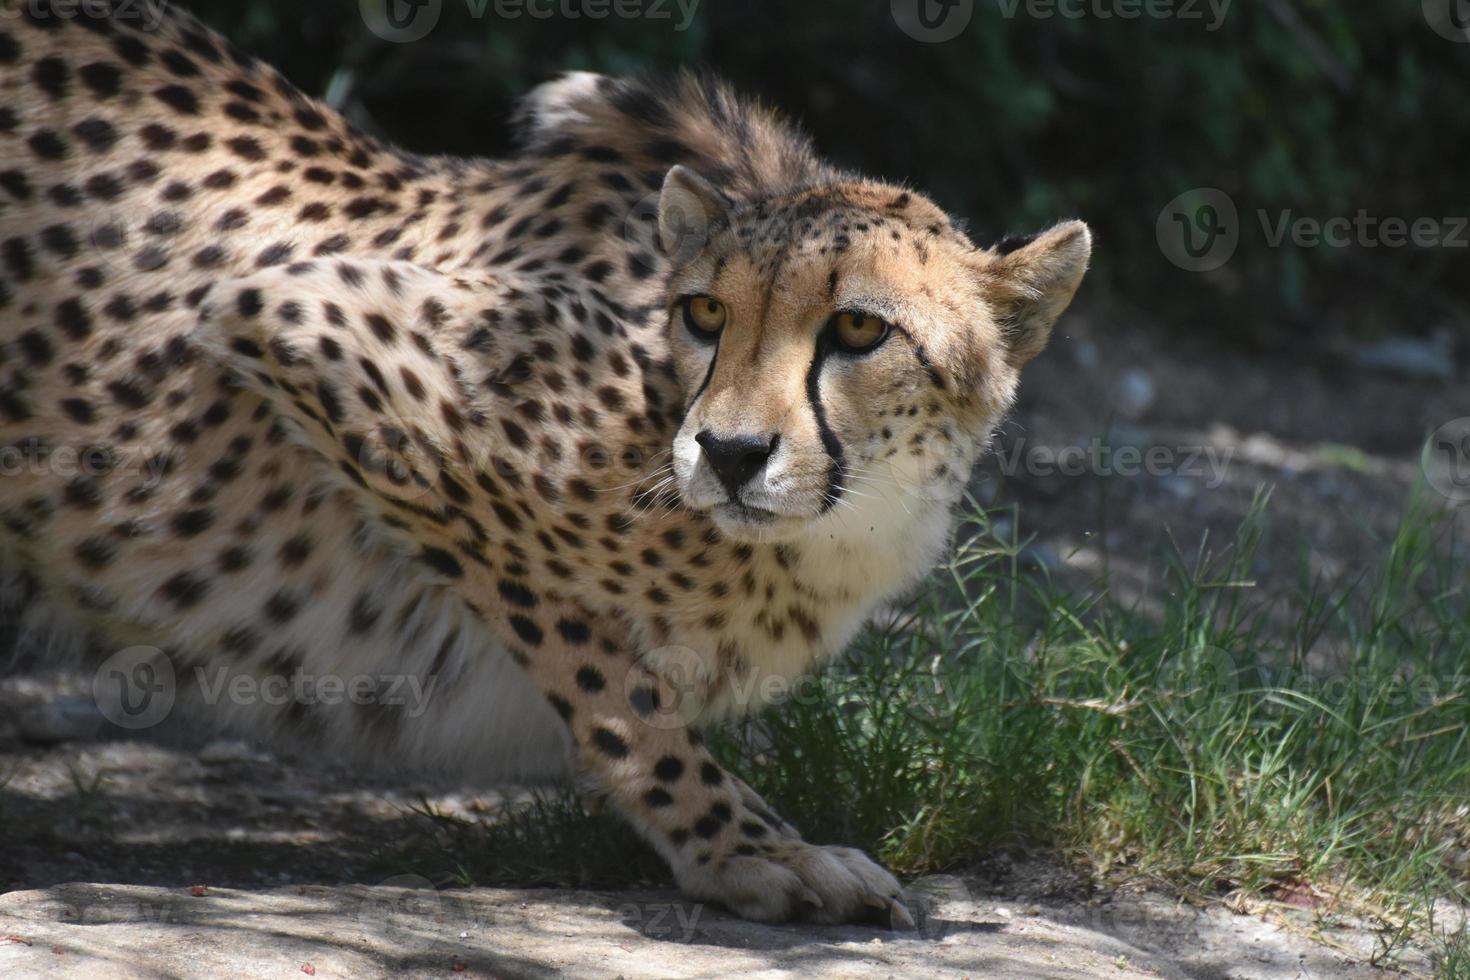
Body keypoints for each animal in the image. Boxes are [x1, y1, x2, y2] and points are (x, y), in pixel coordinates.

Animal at [2, 1, 1093, 928]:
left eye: (862, 328)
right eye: (706, 312)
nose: (730, 454)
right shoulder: (301, 318)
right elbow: (608, 674)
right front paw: (748, 849)